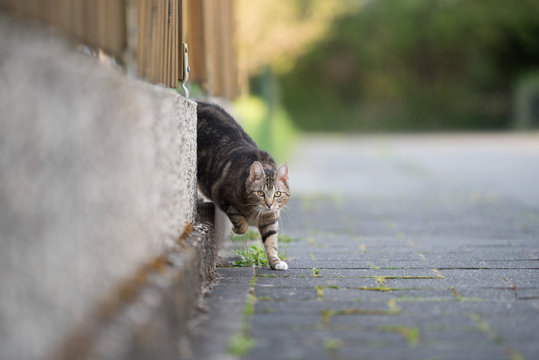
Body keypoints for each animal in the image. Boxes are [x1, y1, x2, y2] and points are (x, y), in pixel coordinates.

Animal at [197, 101, 292, 270]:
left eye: (277, 194)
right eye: (260, 193)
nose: (269, 204)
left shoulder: (271, 219)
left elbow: (271, 241)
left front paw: (275, 262)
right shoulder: (221, 196)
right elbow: (241, 222)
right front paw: (237, 228)